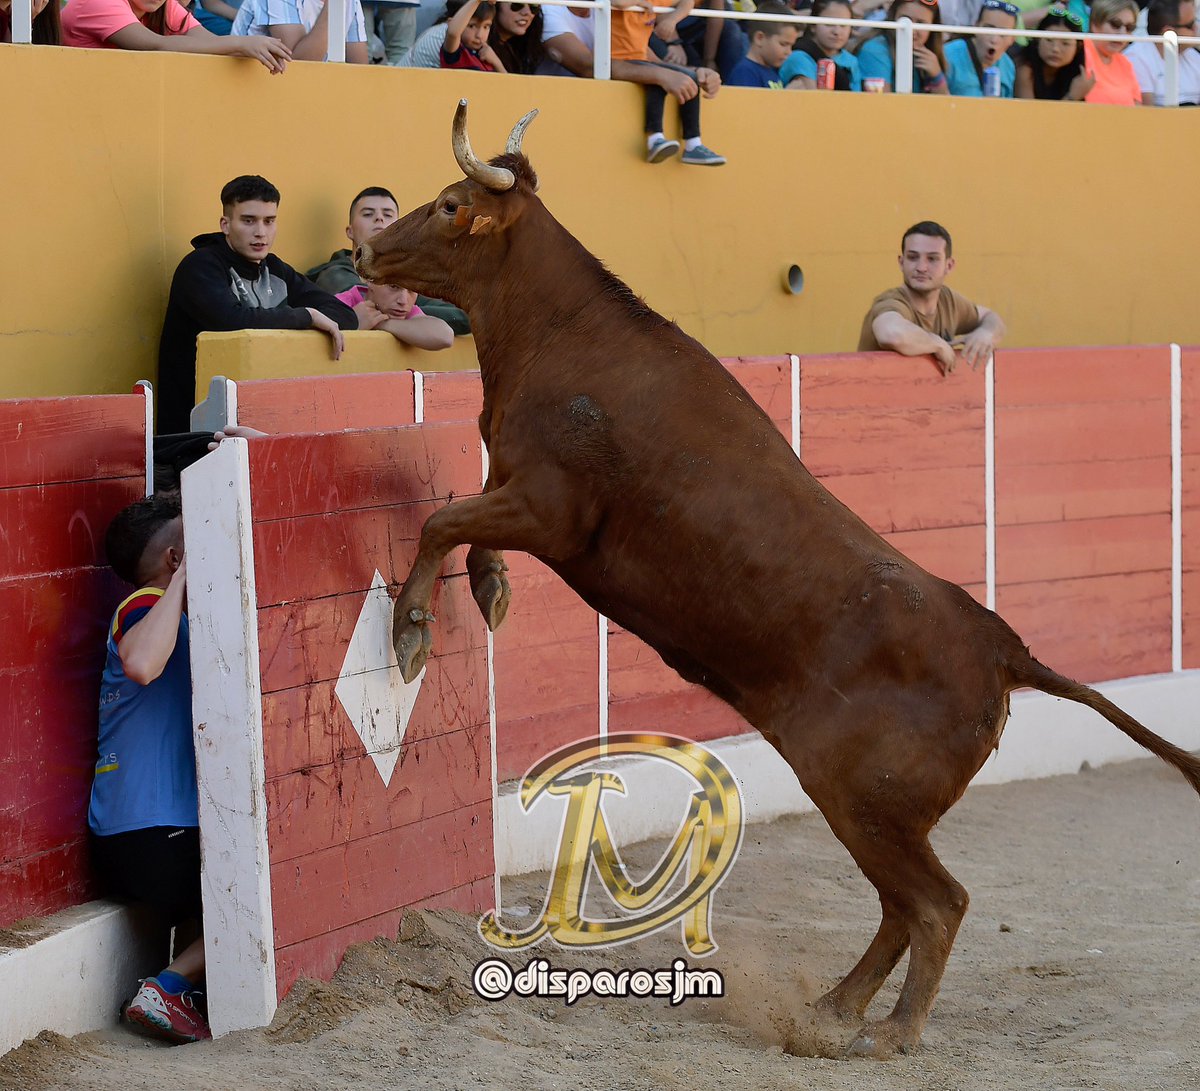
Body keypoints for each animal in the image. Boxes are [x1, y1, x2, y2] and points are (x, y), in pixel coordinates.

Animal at [356, 102, 1200, 1058]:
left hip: (861, 797)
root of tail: (1003, 648)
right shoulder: (514, 487)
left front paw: (412, 633)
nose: (364, 252)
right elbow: (464, 521)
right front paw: (489, 592)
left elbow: (441, 519)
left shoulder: (549, 509)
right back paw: (832, 1009)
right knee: (900, 906)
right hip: (865, 805)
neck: (562, 330)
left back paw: (892, 1030)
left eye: (450, 204)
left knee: (936, 903)